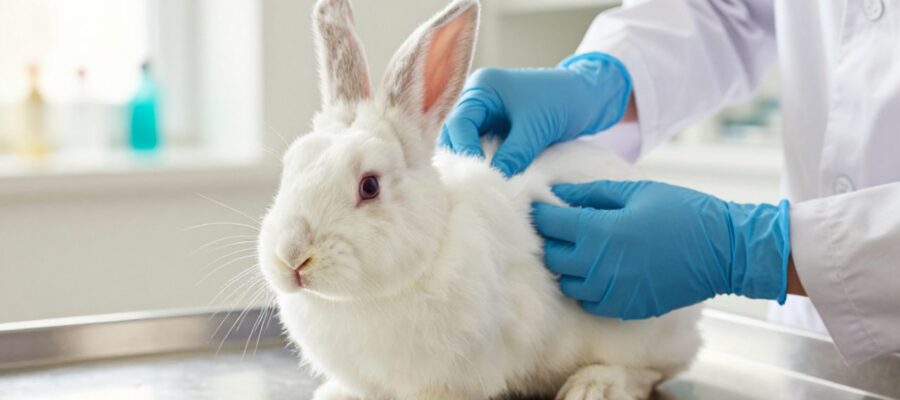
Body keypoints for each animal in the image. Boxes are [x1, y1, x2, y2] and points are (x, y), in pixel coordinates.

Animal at [257, 0, 702, 399]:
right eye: (290, 165)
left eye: (369, 186)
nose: (292, 256)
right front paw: (336, 393)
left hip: (640, 328)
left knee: (650, 371)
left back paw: (594, 387)